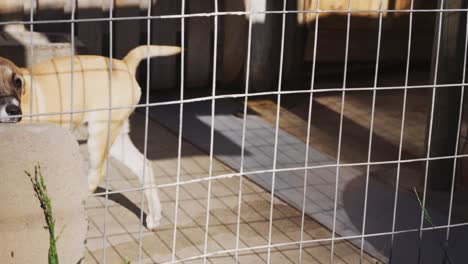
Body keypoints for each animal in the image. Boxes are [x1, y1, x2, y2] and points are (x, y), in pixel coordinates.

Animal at [0, 46, 181, 230]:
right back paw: (154, 216)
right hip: (117, 138)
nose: (14, 111)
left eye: (17, 82)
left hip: (99, 134)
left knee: (97, 174)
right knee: (143, 165)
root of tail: (124, 64)